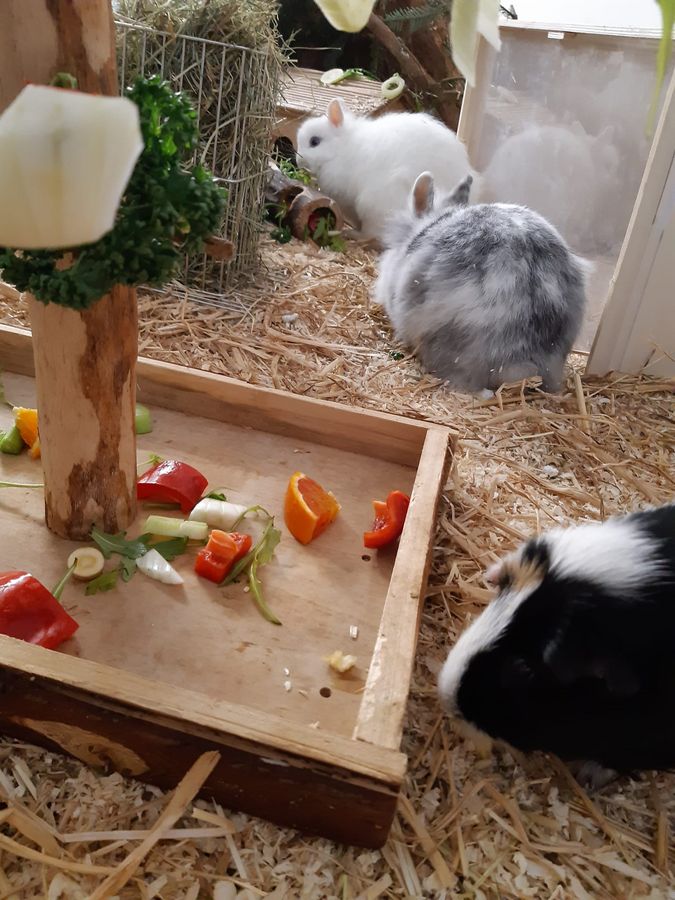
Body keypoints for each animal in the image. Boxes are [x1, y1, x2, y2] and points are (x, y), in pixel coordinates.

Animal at [295, 98, 479, 243]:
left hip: (372, 204)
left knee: (370, 232)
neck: (342, 149)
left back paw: (352, 234)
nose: (298, 161)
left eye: (314, 141)